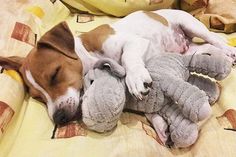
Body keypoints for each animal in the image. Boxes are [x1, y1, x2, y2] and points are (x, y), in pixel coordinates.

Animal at [0, 9, 236, 125]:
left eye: (54, 75)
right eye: (38, 97)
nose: (59, 119)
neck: (87, 52)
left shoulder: (134, 42)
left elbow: (128, 57)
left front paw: (135, 78)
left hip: (191, 24)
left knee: (214, 38)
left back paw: (229, 50)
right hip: (186, 51)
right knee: (206, 47)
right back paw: (223, 54)